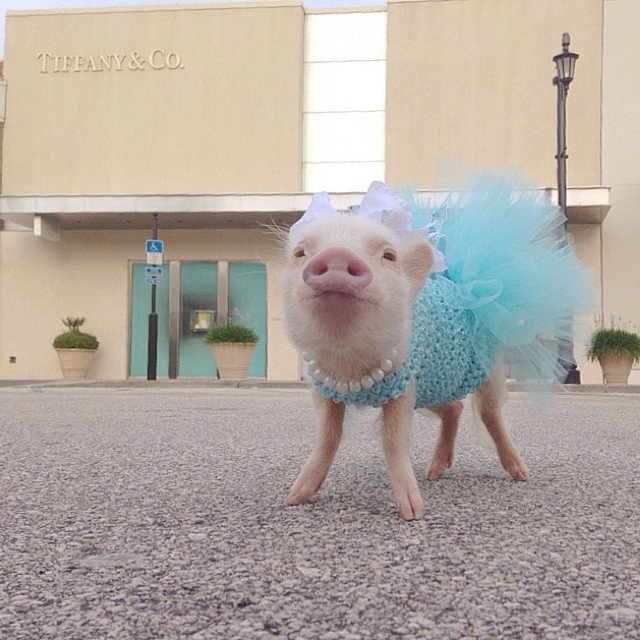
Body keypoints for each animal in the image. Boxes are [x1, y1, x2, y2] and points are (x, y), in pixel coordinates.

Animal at [282, 182, 528, 524]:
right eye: (300, 253)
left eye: (388, 255)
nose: (337, 254)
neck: (350, 367)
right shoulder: (325, 390)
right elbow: (327, 436)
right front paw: (293, 498)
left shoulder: (402, 386)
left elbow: (393, 440)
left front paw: (412, 513)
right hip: (433, 386)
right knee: (454, 409)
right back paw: (434, 472)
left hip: (482, 370)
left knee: (490, 414)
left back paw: (520, 474)